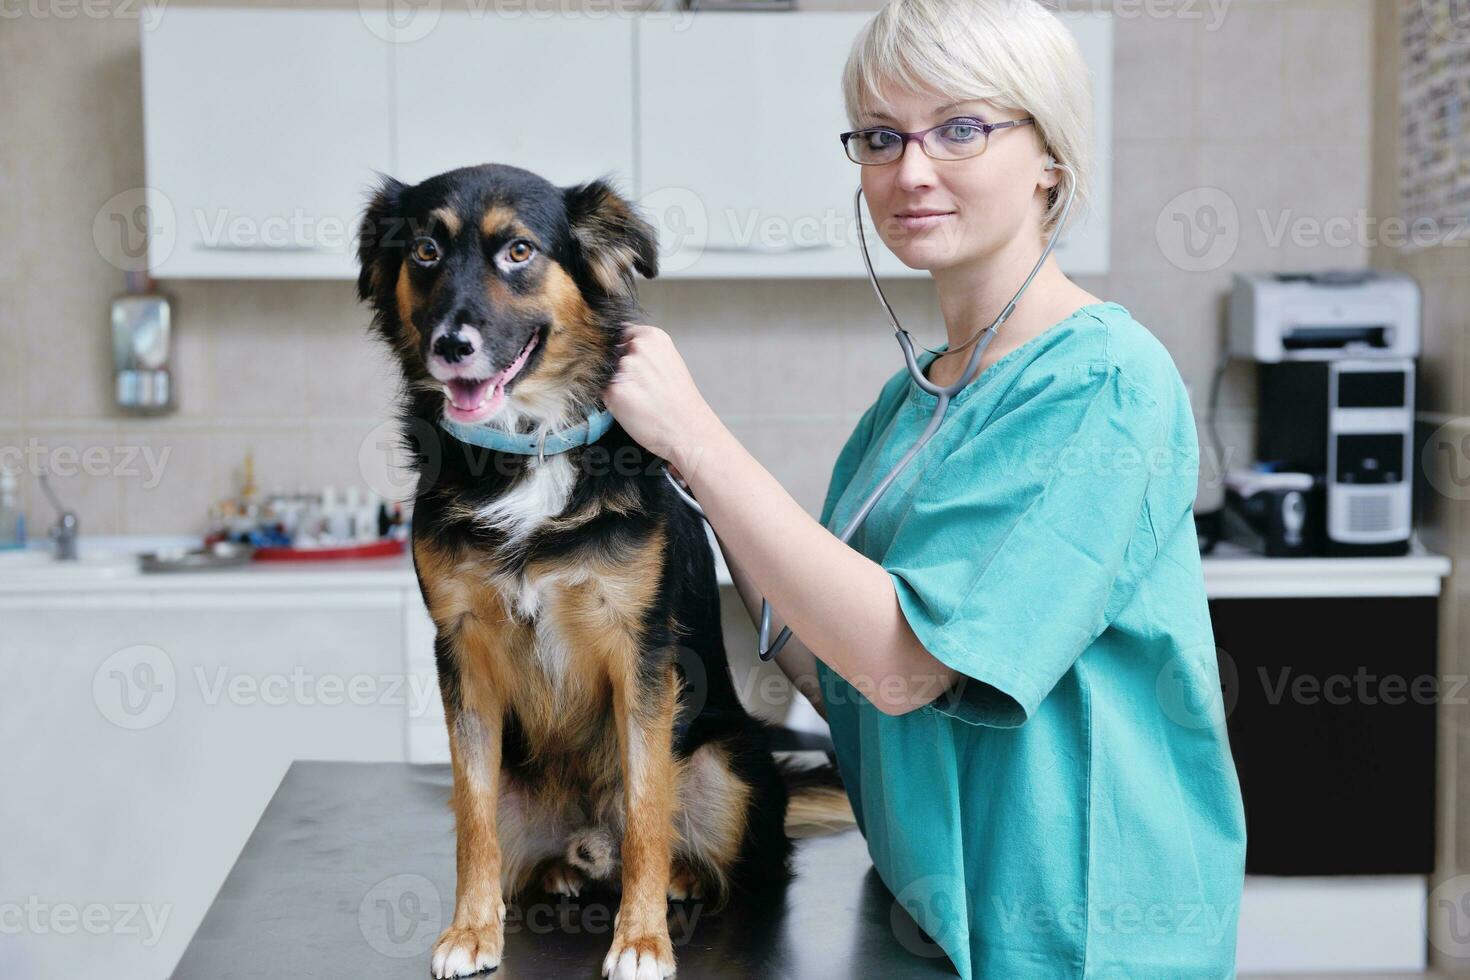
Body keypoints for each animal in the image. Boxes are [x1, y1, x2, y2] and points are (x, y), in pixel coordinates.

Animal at [352, 164, 852, 975]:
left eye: (519, 251)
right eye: (425, 250)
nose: (450, 345)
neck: (528, 448)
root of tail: (590, 843)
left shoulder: (639, 649)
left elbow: (648, 809)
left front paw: (641, 938)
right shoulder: (460, 647)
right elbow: (472, 818)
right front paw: (471, 930)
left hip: (731, 761)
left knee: (741, 857)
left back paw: (683, 878)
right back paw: (556, 873)